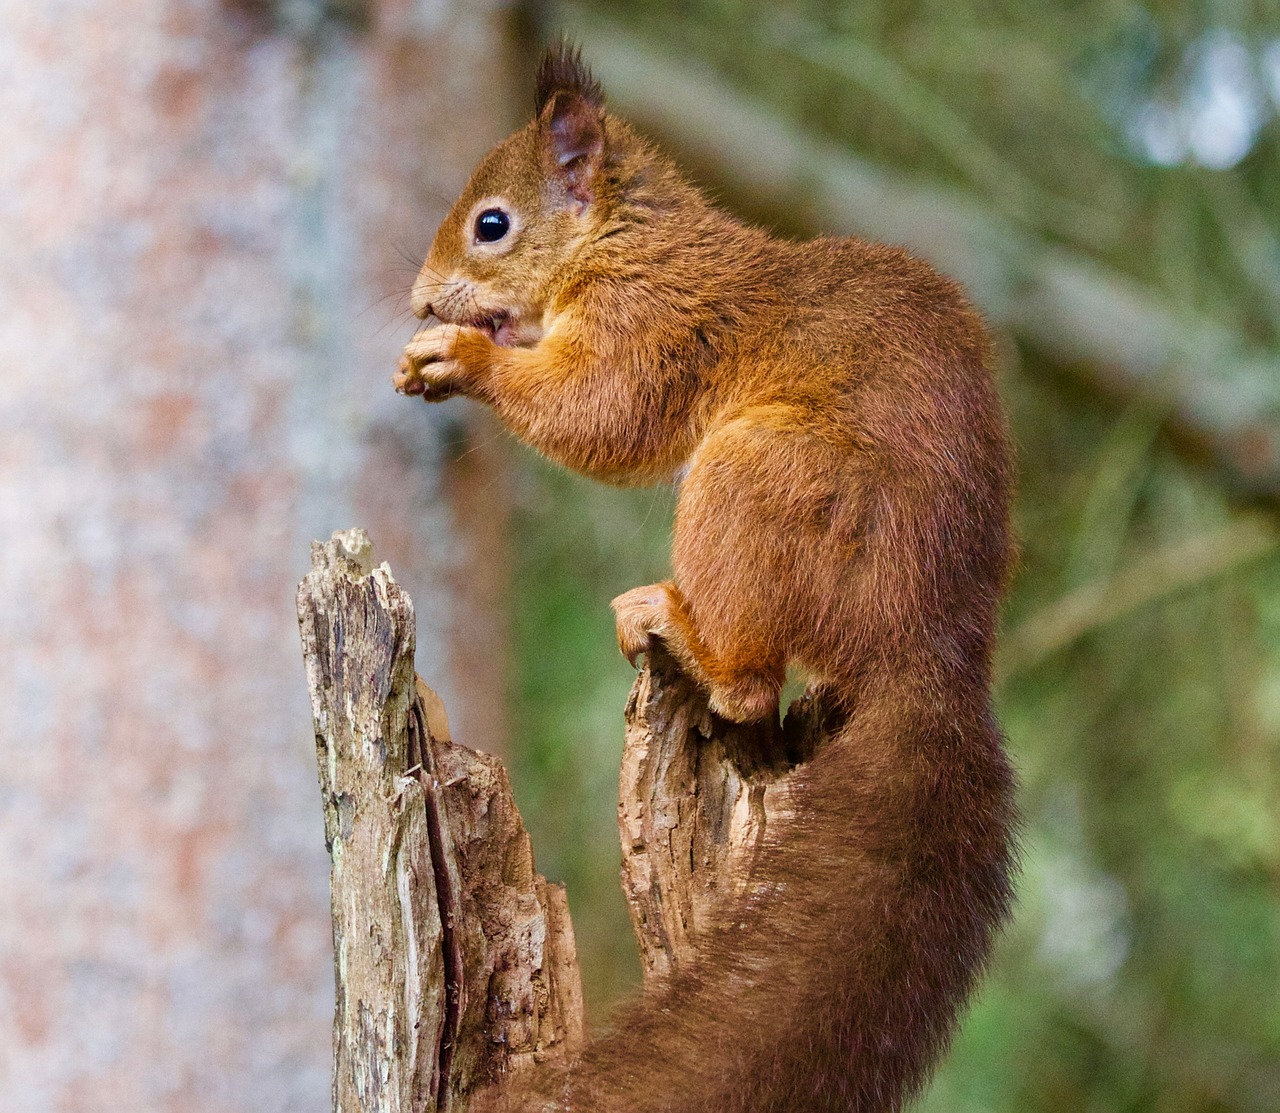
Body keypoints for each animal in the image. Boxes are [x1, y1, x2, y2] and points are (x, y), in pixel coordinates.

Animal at [394, 41, 1013, 1113]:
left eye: (491, 224)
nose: (426, 299)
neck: (627, 239)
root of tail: (930, 643)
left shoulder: (652, 323)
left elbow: (601, 412)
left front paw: (465, 356)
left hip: (755, 475)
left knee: (750, 687)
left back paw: (681, 629)